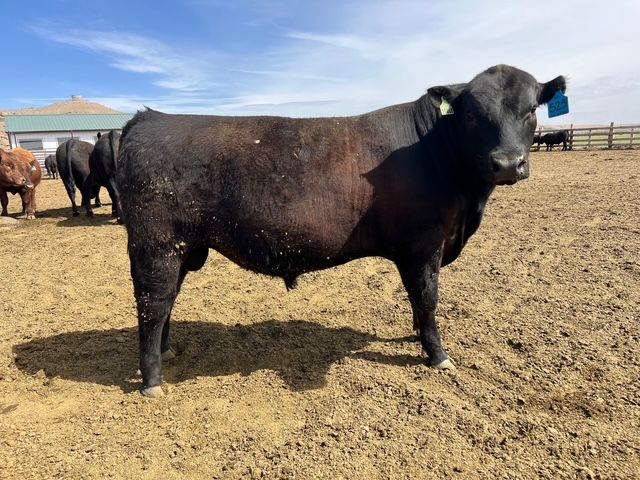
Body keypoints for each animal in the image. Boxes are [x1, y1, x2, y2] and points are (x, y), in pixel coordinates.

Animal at [117, 64, 567, 397]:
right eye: (472, 113)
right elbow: (428, 298)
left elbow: (417, 301)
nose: (507, 163)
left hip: (181, 249)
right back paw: (152, 380)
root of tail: (148, 119)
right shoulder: (424, 243)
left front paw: (418, 338)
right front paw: (437, 354)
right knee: (153, 304)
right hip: (156, 245)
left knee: (167, 302)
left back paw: (167, 352)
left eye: (531, 110)